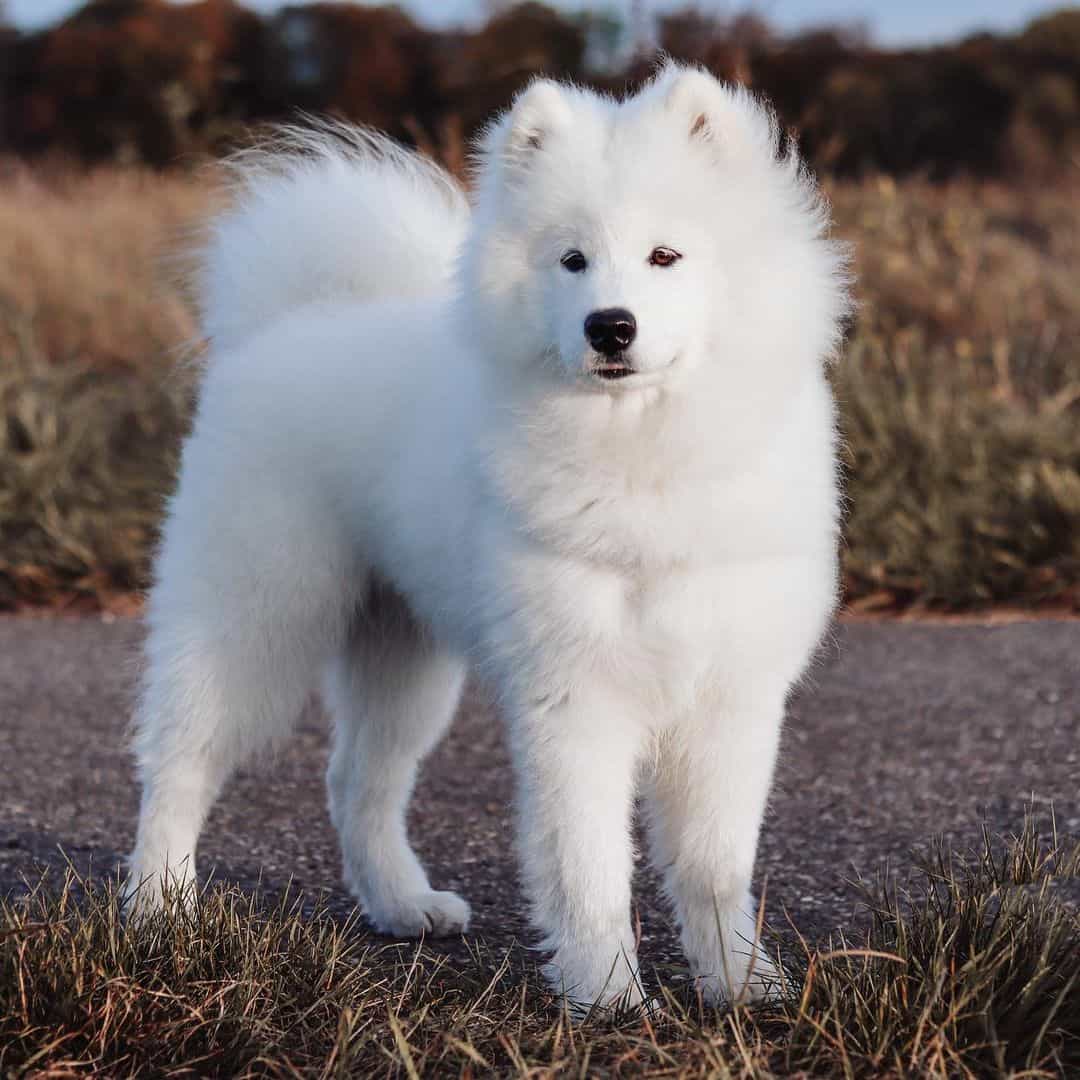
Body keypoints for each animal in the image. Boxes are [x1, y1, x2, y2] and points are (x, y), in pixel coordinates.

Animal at [128, 65, 851, 1010]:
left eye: (665, 256)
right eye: (571, 260)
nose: (609, 325)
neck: (640, 454)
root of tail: (294, 321)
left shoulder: (730, 698)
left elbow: (712, 866)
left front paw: (740, 982)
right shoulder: (575, 696)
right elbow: (589, 863)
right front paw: (606, 991)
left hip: (403, 656)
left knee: (357, 781)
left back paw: (402, 906)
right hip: (254, 618)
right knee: (178, 763)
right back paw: (158, 910)